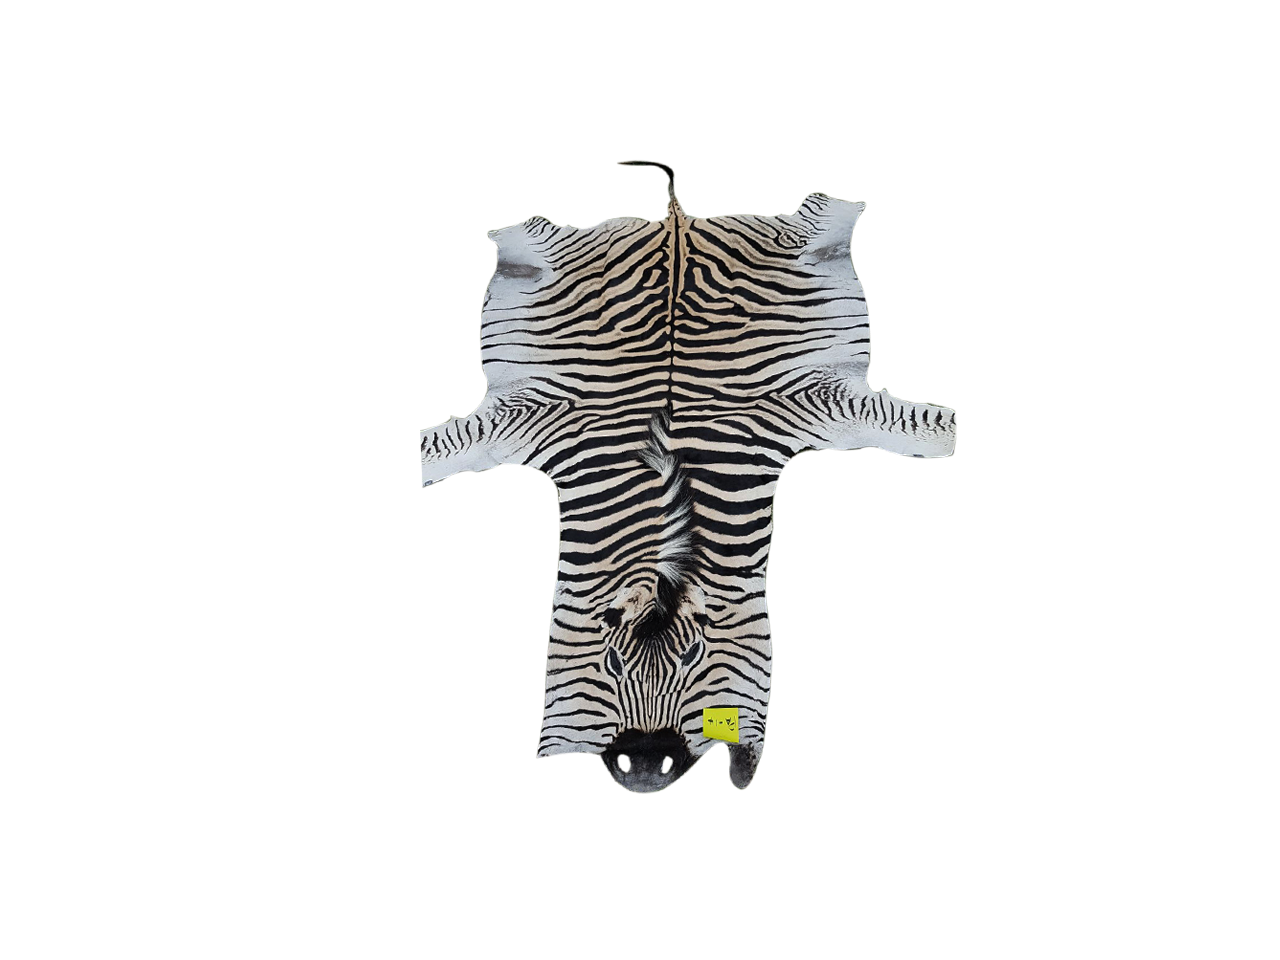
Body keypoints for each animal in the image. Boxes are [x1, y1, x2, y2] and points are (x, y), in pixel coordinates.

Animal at [419, 161, 958, 793]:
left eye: (695, 656)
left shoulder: (813, 401)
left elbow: (932, 429)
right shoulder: (529, 413)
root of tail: (675, 219)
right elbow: (440, 446)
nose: (645, 767)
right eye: (610, 662)